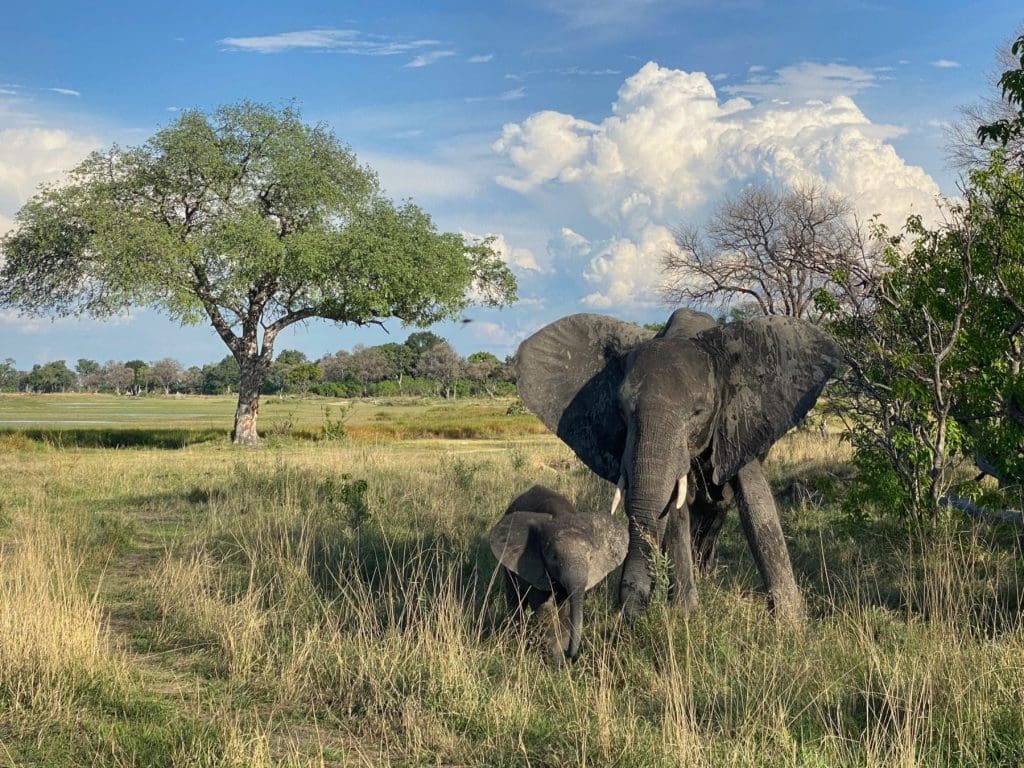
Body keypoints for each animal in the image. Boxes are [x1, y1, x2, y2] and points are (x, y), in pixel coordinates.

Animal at [485, 487, 622, 663]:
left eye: (591, 558)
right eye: (554, 557)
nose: (569, 653)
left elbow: (564, 607)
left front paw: (561, 659)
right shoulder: (535, 564)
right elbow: (545, 607)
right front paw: (556, 660)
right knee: (515, 597)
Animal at [516, 309, 843, 622]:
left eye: (698, 412)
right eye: (620, 410)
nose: (630, 612)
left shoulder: (739, 422)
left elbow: (757, 505)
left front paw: (790, 623)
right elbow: (675, 512)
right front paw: (686, 615)